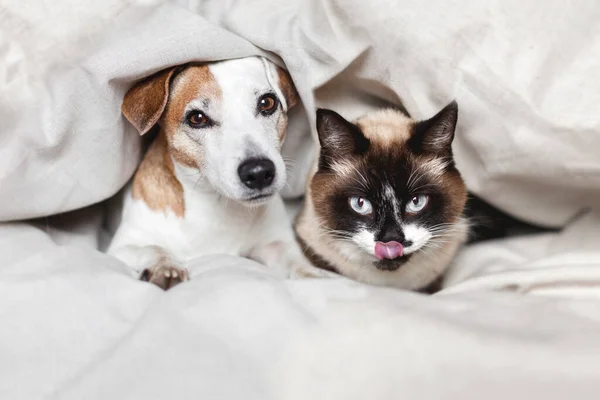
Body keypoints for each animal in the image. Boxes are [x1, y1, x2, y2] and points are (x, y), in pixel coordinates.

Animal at [109, 56, 324, 290]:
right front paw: (164, 266)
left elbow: (296, 262)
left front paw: (315, 275)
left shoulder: (275, 244)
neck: (217, 204)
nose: (259, 172)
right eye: (197, 118)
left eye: (267, 103)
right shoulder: (122, 246)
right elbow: (153, 248)